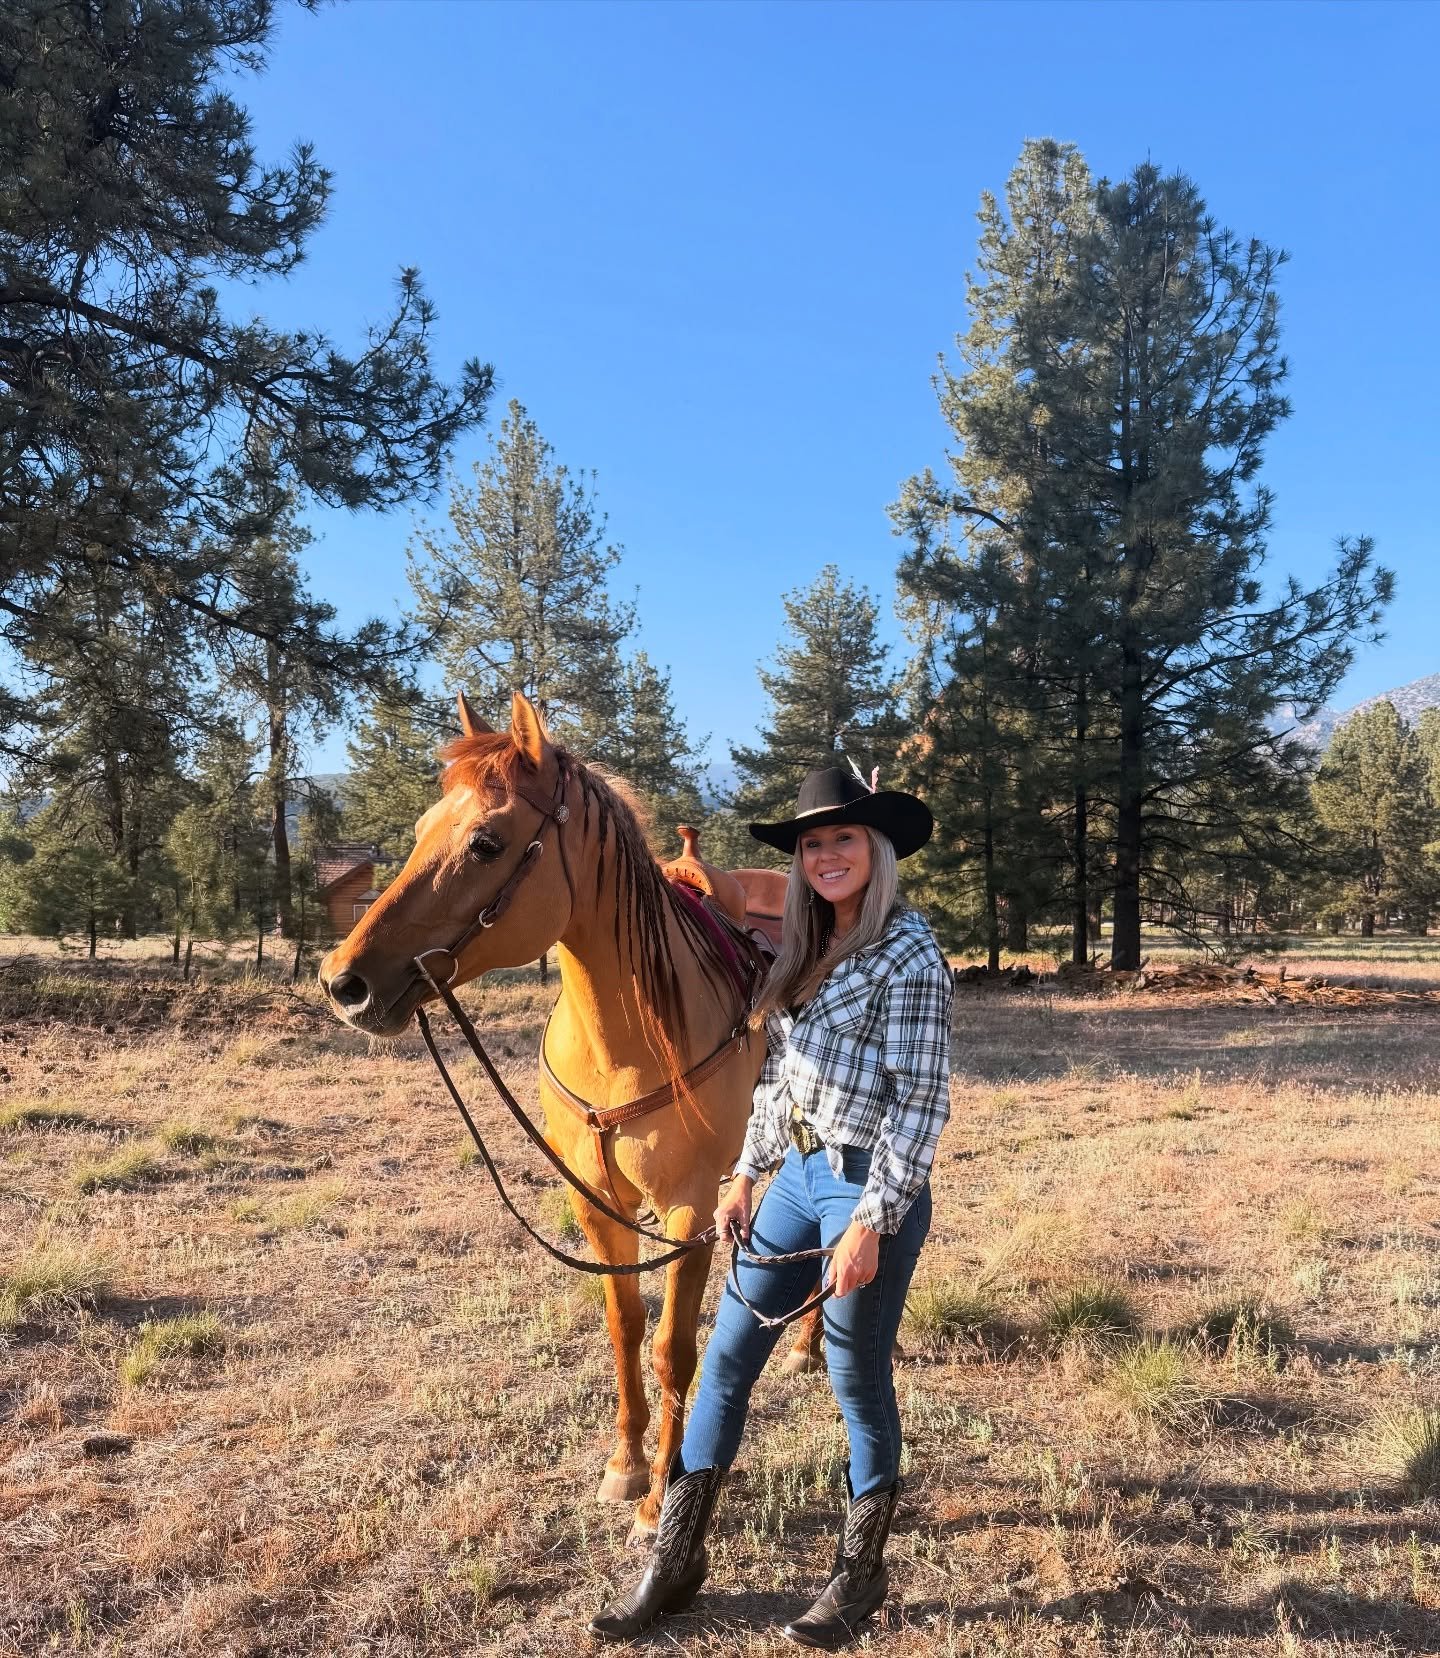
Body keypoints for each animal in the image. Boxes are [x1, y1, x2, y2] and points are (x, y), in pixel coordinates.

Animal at [318, 691, 817, 1534]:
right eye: (420, 829)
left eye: (487, 842)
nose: (343, 983)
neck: (631, 1039)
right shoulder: (598, 1205)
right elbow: (624, 1327)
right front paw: (625, 1466)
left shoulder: (686, 1210)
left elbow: (673, 1349)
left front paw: (658, 1497)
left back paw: (812, 1347)